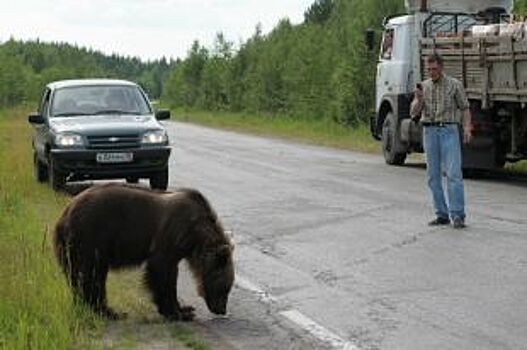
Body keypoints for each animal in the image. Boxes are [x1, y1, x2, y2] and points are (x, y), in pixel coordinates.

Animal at [53, 185, 235, 322]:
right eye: (225, 287)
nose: (222, 309)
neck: (195, 236)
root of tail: (64, 215)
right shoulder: (169, 236)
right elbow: (162, 272)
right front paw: (176, 313)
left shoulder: (178, 248)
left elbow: (170, 275)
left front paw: (185, 308)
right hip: (91, 237)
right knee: (90, 275)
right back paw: (106, 311)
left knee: (91, 276)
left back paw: (105, 309)